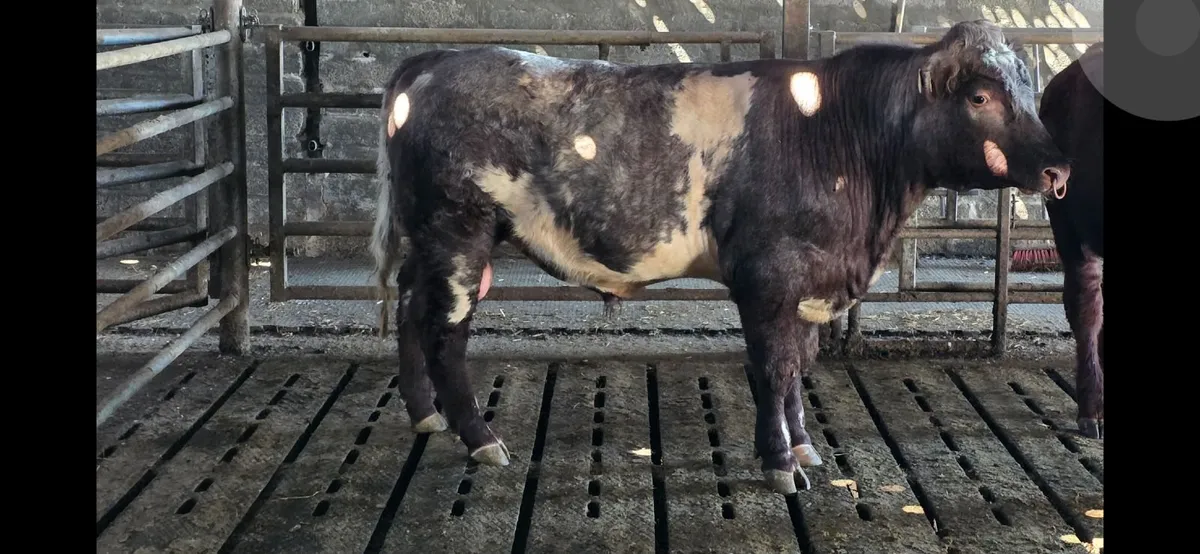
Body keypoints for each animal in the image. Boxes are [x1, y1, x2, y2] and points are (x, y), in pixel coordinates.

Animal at [370, 19, 1072, 495]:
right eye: (980, 97)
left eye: (1029, 90)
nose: (1058, 168)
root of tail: (433, 59)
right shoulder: (768, 278)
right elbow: (775, 370)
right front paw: (781, 464)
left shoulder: (806, 286)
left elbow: (800, 366)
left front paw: (805, 448)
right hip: (458, 232)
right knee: (445, 334)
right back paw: (481, 440)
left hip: (429, 240)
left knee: (407, 308)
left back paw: (425, 415)